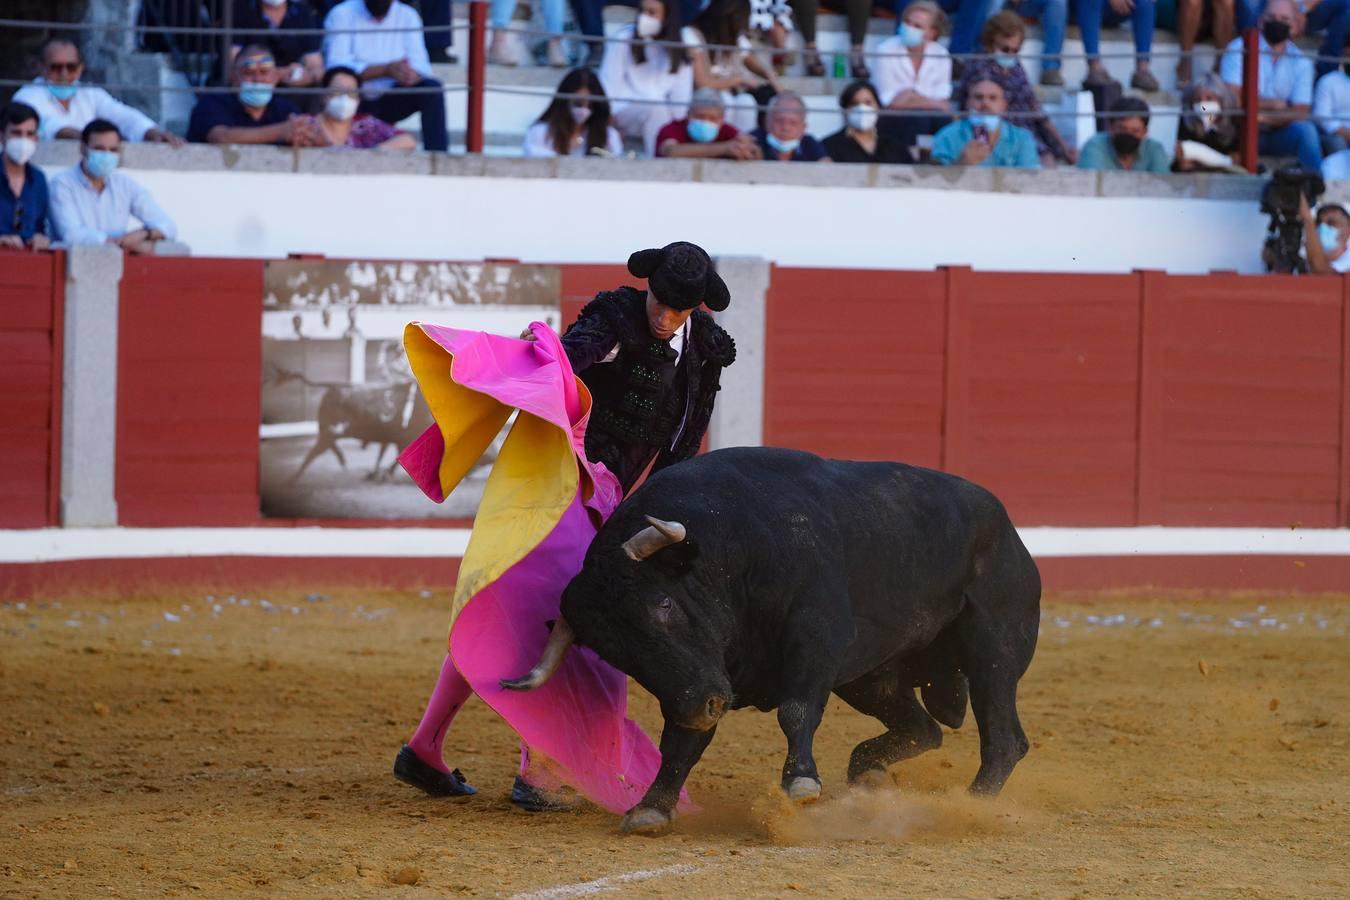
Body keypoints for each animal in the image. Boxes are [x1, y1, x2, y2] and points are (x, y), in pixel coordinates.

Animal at [507, 447, 1042, 836]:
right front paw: (652, 809)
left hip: (993, 647)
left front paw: (800, 783)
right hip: (872, 679)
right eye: (613, 653)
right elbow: (680, 743)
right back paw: (868, 773)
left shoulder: (816, 635)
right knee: (924, 728)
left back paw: (971, 806)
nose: (703, 706)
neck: (731, 547)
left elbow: (797, 710)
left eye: (662, 605)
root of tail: (1007, 526)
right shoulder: (699, 680)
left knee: (1003, 738)